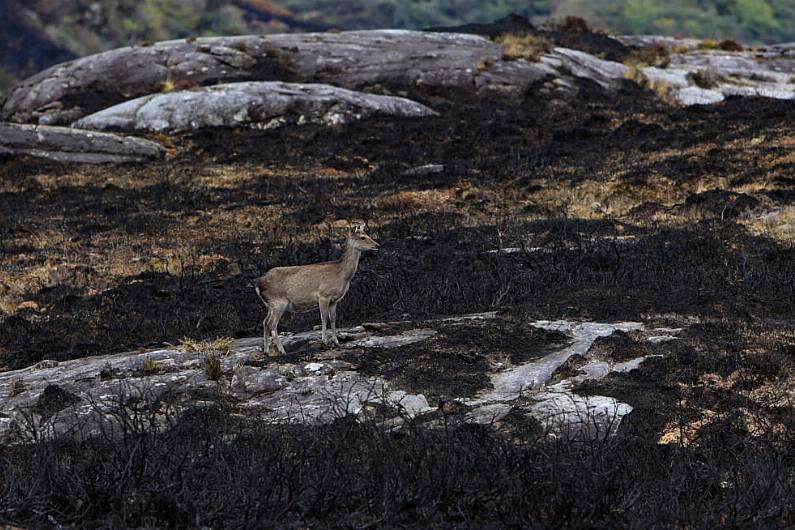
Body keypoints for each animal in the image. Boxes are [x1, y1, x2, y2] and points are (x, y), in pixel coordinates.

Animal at [255, 221, 380, 356]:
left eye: (367, 234)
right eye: (362, 237)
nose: (377, 245)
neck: (342, 275)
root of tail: (258, 283)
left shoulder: (334, 300)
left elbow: (333, 318)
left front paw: (336, 342)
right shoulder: (323, 295)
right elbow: (324, 318)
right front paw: (325, 342)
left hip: (270, 304)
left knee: (265, 322)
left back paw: (267, 351)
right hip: (278, 301)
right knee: (272, 324)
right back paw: (282, 351)